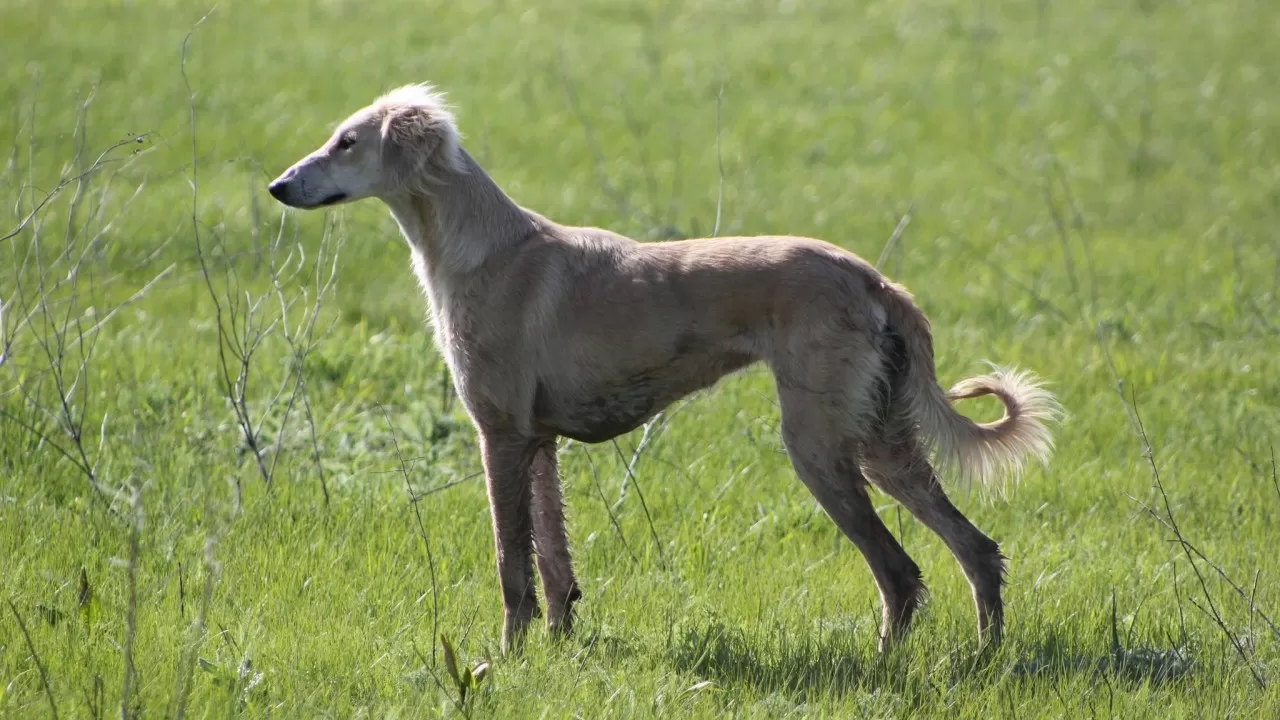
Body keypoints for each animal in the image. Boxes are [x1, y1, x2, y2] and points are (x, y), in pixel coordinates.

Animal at [267, 82, 1059, 650]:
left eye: (346, 141)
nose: (277, 187)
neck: (485, 247)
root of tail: (874, 280)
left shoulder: (500, 436)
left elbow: (512, 566)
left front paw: (510, 657)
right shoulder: (538, 442)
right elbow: (554, 567)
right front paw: (559, 649)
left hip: (820, 445)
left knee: (900, 572)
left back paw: (888, 664)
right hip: (881, 442)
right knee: (977, 550)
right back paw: (985, 657)